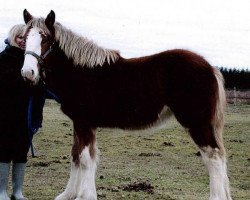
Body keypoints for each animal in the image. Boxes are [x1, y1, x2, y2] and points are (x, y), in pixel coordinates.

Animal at [20, 9, 231, 200]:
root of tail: (210, 68)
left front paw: (84, 196)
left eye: (46, 39)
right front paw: (68, 194)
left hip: (197, 124)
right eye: (23, 39)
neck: (80, 71)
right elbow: (76, 156)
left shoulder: (84, 123)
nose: (28, 73)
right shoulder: (79, 123)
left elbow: (86, 159)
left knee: (213, 158)